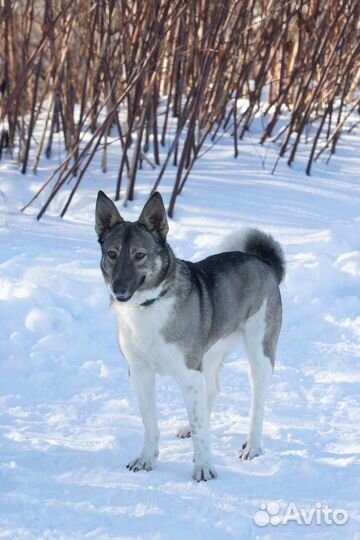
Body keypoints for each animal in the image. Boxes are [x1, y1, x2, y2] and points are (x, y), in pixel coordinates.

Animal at [95, 190, 284, 480]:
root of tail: (263, 262)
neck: (149, 305)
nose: (118, 289)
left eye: (140, 255)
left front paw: (204, 467)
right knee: (212, 390)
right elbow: (150, 422)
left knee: (257, 403)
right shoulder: (140, 373)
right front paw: (146, 459)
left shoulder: (189, 373)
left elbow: (200, 429)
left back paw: (252, 446)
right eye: (112, 254)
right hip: (211, 352)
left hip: (259, 354)